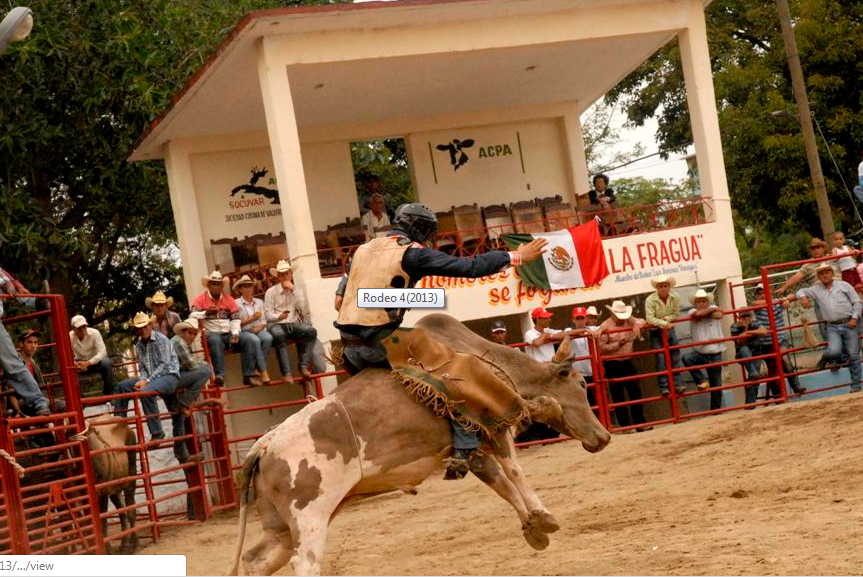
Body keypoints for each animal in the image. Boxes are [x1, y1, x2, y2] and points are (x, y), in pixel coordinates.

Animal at [230, 312, 608, 572]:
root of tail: (264, 445)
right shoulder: (493, 427)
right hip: (310, 516)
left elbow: (499, 482)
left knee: (256, 560)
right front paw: (543, 515)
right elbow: (514, 471)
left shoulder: (471, 448)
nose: (602, 436)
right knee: (304, 562)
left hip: (280, 525)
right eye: (581, 384)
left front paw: (534, 526)